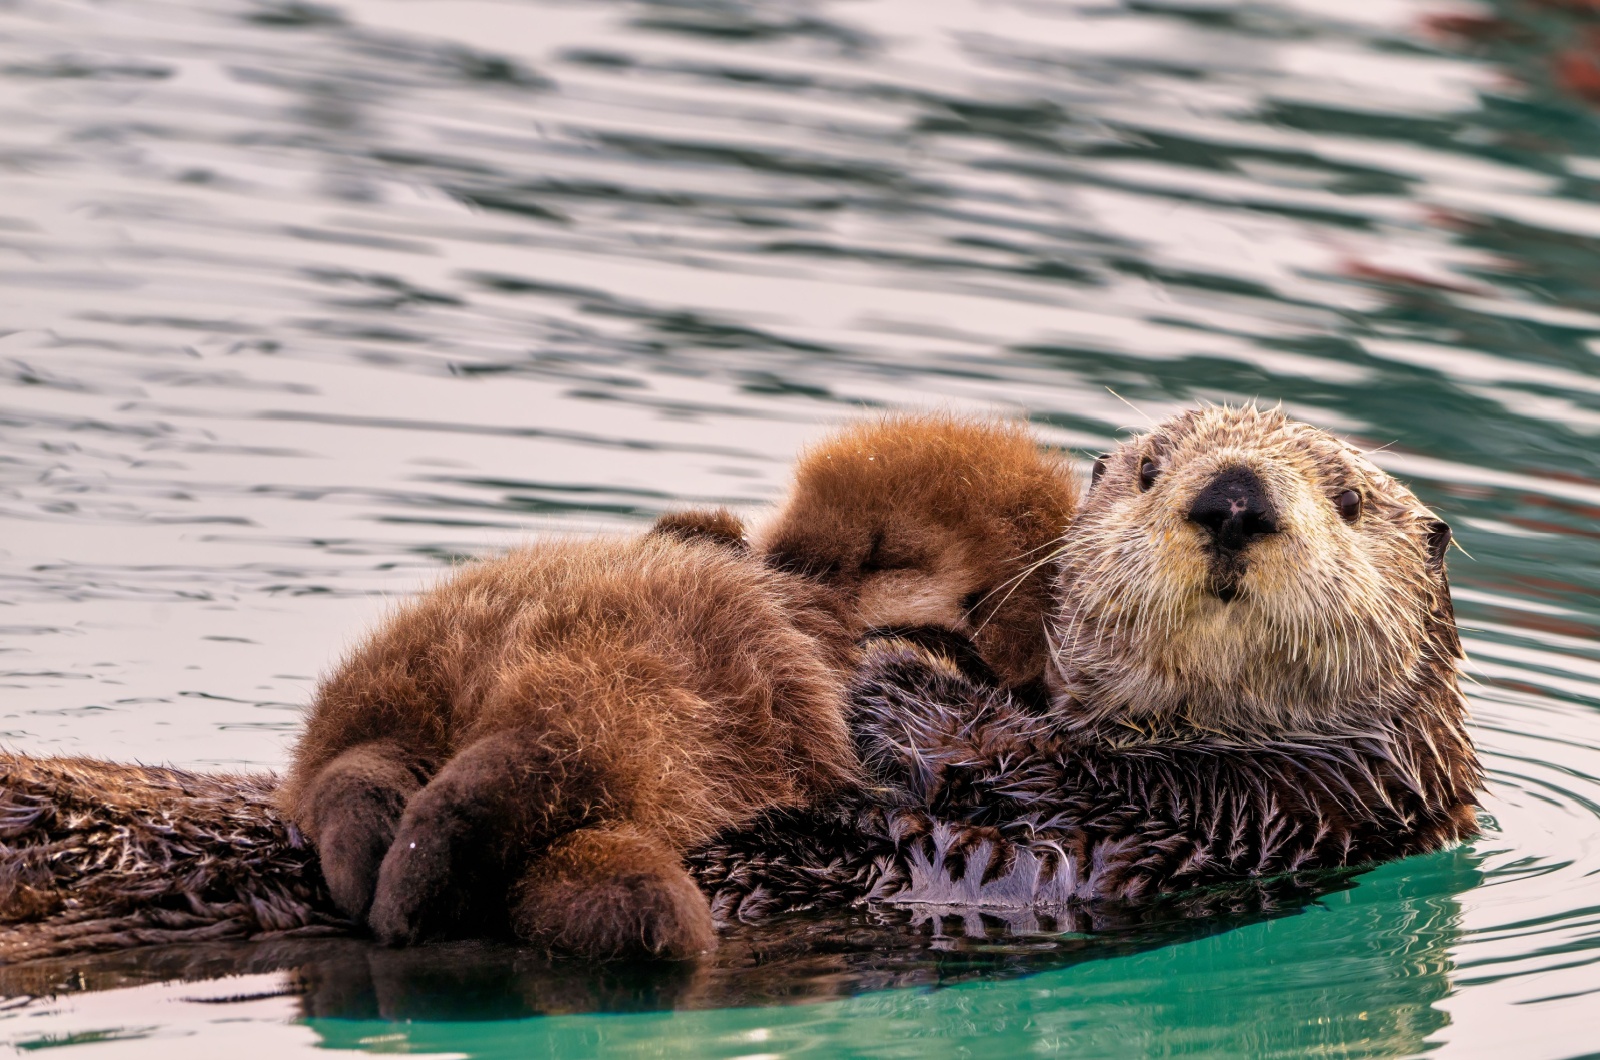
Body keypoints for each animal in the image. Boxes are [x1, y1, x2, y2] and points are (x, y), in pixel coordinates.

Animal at [275, 416, 1081, 960]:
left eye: (884, 553)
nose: (782, 559)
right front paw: (709, 534)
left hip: (604, 710)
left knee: (491, 774)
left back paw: (389, 872)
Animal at [694, 406, 1478, 922]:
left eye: (1349, 501)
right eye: (1150, 470)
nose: (1234, 499)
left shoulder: (1261, 806)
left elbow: (1017, 762)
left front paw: (894, 662)